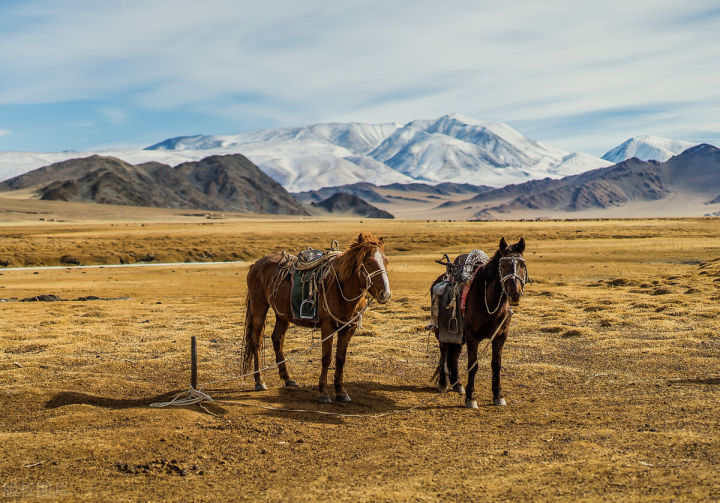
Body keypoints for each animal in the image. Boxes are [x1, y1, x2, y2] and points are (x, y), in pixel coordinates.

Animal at [243, 234, 390, 404]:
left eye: (386, 261)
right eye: (369, 262)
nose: (385, 294)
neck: (341, 289)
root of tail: (255, 264)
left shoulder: (348, 328)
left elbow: (340, 359)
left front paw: (341, 392)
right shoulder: (327, 327)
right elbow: (326, 358)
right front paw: (323, 393)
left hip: (282, 315)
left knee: (277, 339)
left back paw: (288, 379)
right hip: (259, 309)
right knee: (256, 342)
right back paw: (259, 381)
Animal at [430, 237, 524, 410]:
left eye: (522, 264)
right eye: (502, 265)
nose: (515, 294)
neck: (489, 301)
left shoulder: (500, 337)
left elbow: (496, 365)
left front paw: (498, 395)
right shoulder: (472, 338)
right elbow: (473, 366)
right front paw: (471, 398)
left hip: (458, 336)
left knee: (453, 355)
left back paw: (457, 384)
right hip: (443, 333)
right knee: (444, 353)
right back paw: (443, 384)